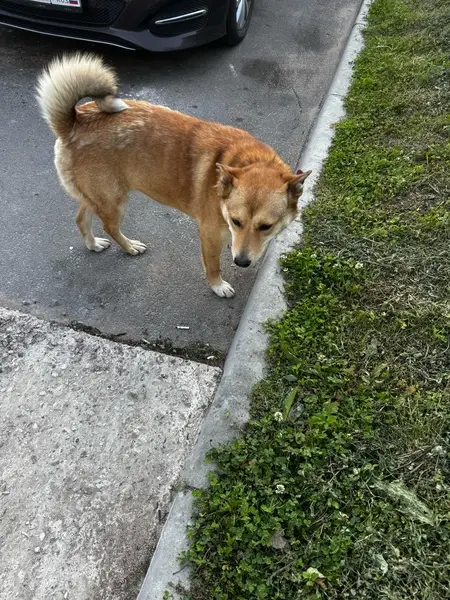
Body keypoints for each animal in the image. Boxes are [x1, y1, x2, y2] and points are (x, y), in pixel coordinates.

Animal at [36, 53, 311, 298]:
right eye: (236, 221)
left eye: (266, 226)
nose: (241, 262)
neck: (244, 160)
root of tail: (75, 122)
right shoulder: (210, 236)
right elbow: (213, 266)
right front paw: (218, 286)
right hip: (115, 202)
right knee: (109, 226)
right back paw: (129, 247)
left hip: (98, 196)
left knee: (82, 219)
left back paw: (93, 244)